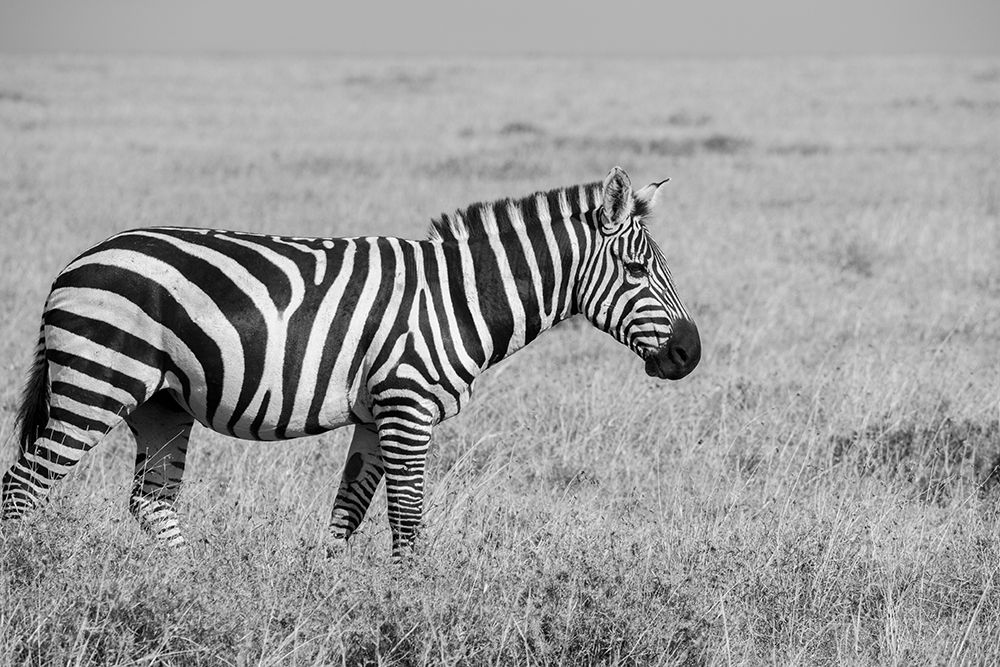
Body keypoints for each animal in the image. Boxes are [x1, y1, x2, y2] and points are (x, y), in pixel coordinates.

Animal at [1, 166, 700, 558]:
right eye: (637, 270)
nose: (690, 354)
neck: (458, 299)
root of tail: (78, 260)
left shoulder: (375, 415)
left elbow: (348, 515)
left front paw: (333, 598)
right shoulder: (407, 406)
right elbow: (407, 520)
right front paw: (411, 609)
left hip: (162, 402)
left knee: (152, 503)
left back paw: (190, 593)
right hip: (96, 385)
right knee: (22, 489)